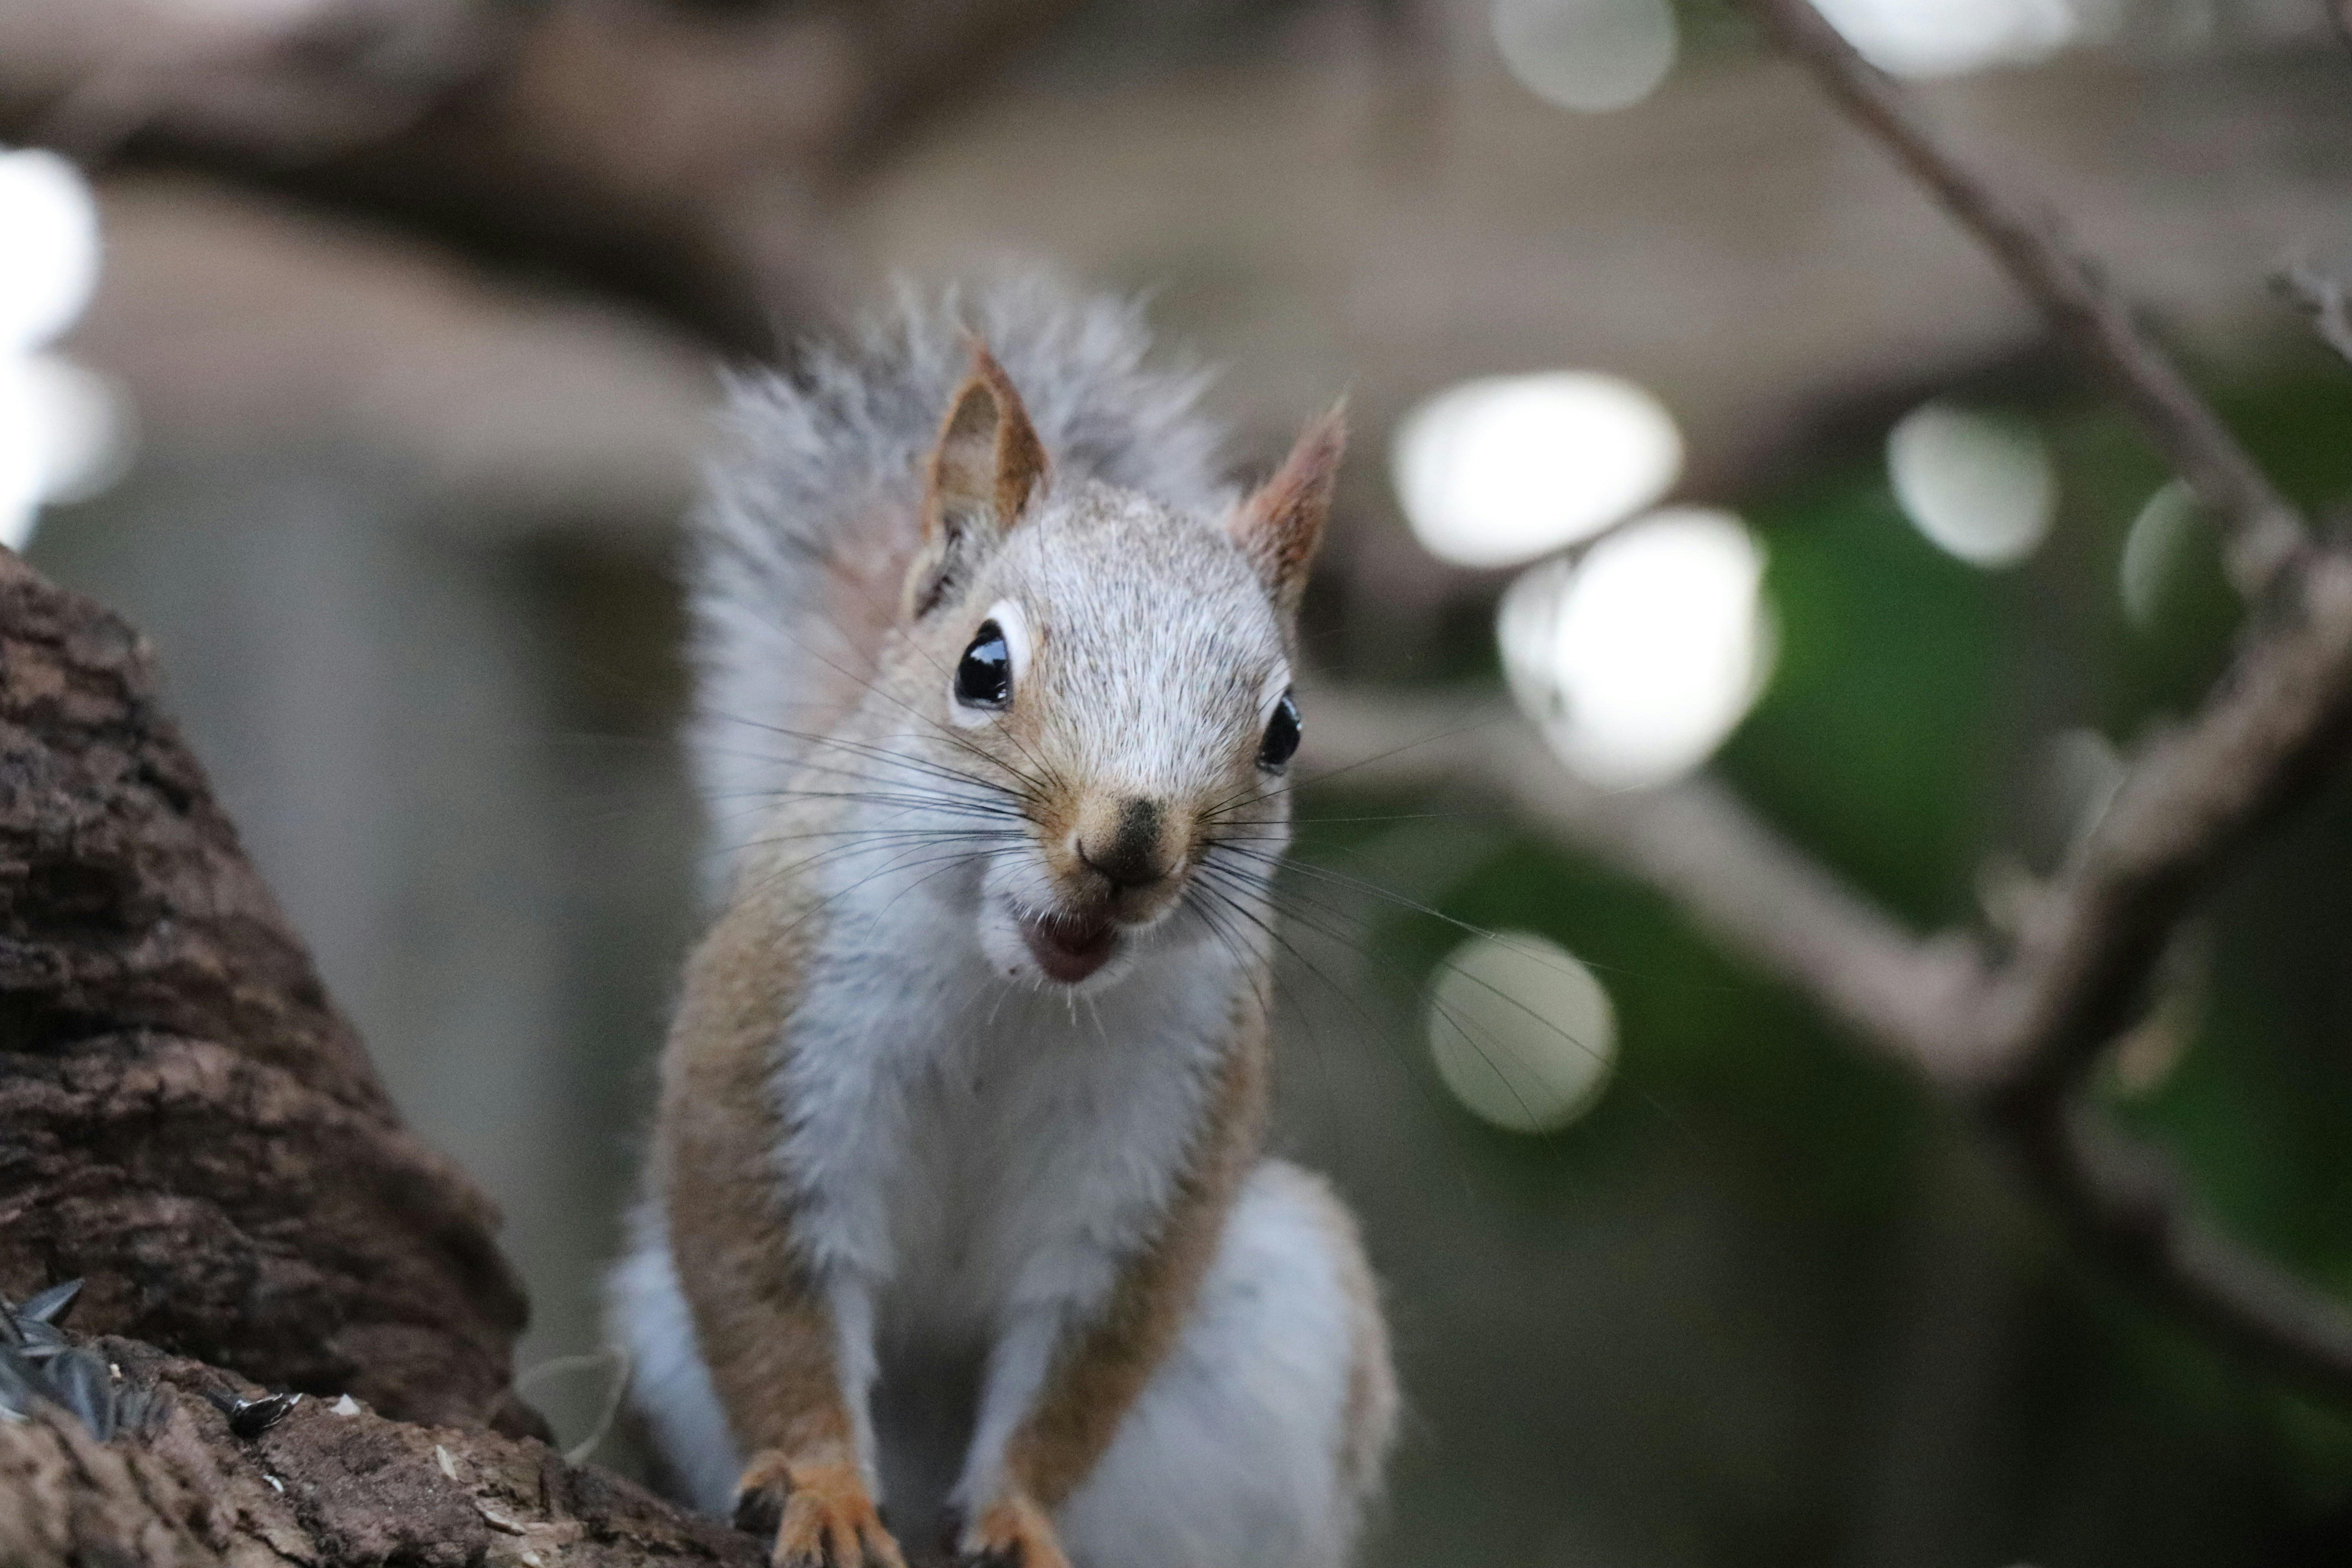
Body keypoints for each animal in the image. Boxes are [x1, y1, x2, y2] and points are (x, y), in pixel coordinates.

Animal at [606, 280, 1398, 1568]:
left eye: (1284, 728)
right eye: (982, 663)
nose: (1128, 845)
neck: (1012, 993)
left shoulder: (1151, 1162)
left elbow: (1079, 1367)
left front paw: (1019, 1519)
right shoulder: (775, 1062)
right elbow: (771, 1295)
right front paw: (825, 1488)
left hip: (1281, 1330)